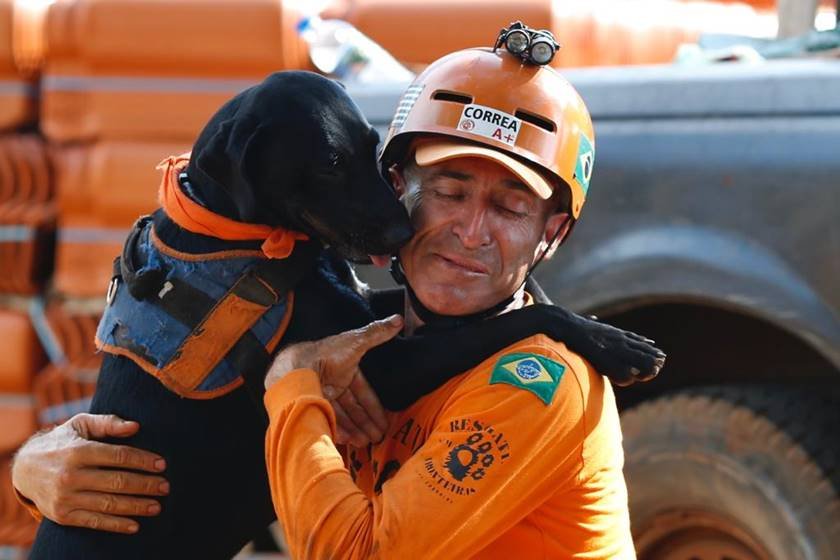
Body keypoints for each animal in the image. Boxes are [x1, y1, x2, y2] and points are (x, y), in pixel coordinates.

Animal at [31, 72, 664, 556]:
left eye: (372, 146)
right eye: (331, 160)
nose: (405, 232)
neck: (245, 236)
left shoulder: (368, 305)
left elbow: (485, 313)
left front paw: (571, 310)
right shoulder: (379, 366)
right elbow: (509, 321)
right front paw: (615, 344)